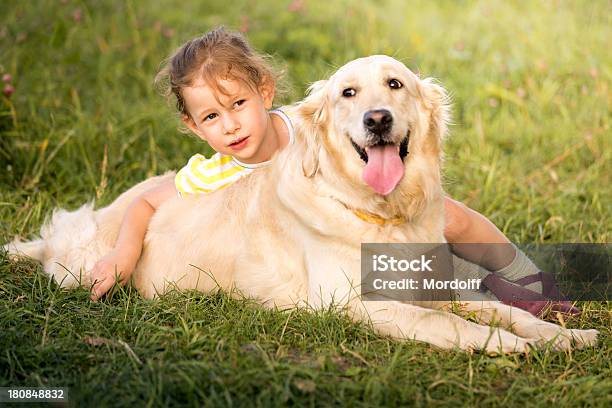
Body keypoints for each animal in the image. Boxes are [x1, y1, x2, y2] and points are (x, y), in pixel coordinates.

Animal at [5, 55, 596, 354]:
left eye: (395, 85)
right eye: (347, 94)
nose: (377, 119)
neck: (381, 215)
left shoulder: (431, 288)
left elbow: (500, 310)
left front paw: (563, 334)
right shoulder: (360, 306)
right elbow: (458, 328)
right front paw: (514, 347)